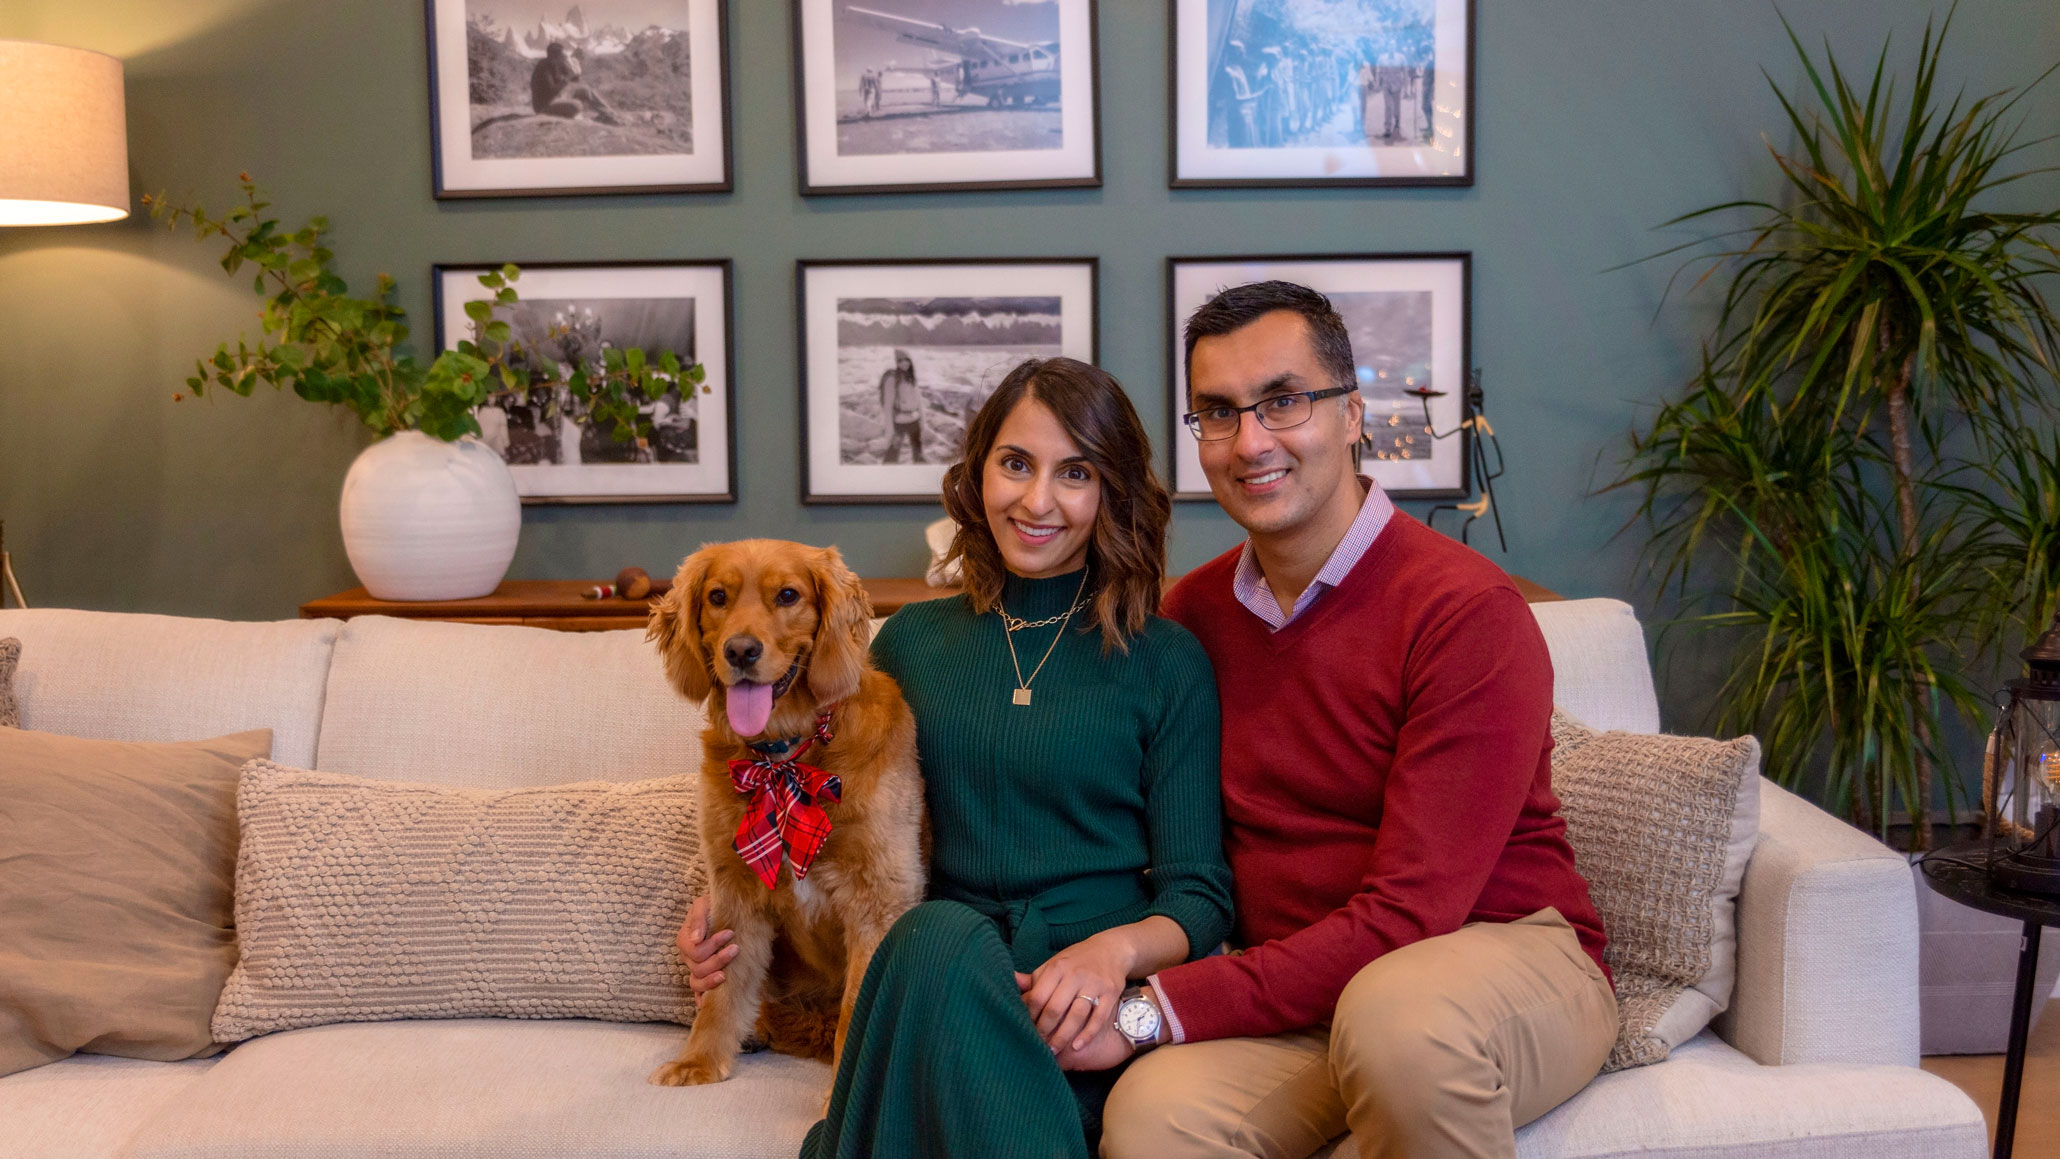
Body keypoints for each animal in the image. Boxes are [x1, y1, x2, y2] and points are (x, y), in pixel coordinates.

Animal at [646, 543, 931, 1086]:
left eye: (787, 596)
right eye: (718, 597)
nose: (740, 651)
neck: (786, 758)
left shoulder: (879, 893)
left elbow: (856, 1013)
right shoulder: (735, 887)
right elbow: (723, 989)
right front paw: (699, 1060)